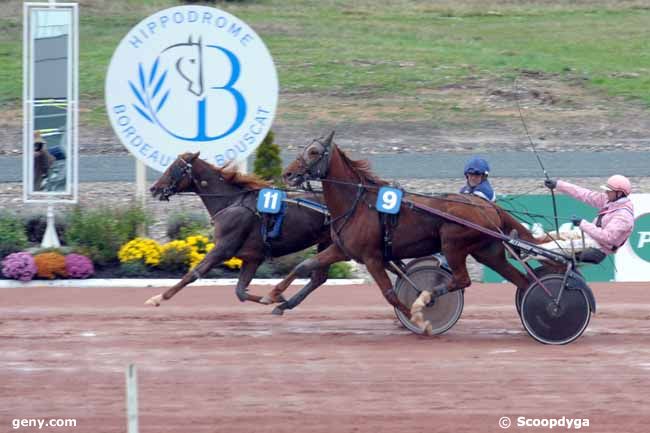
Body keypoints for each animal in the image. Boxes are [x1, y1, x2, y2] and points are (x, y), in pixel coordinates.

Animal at [145, 150, 332, 312]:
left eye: (174, 168)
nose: (154, 189)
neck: (232, 202)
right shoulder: (252, 257)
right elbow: (240, 292)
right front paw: (275, 298)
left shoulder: (223, 248)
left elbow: (193, 273)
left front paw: (157, 298)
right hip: (327, 242)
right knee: (319, 278)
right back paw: (286, 305)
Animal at [264, 132, 540, 320]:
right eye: (305, 148)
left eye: (314, 152)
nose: (288, 174)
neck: (359, 204)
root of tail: (486, 205)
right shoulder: (342, 249)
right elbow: (304, 265)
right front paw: (274, 297)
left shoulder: (372, 257)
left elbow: (390, 294)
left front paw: (417, 318)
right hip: (487, 251)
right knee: (524, 282)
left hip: (453, 244)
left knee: (462, 279)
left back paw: (427, 297)